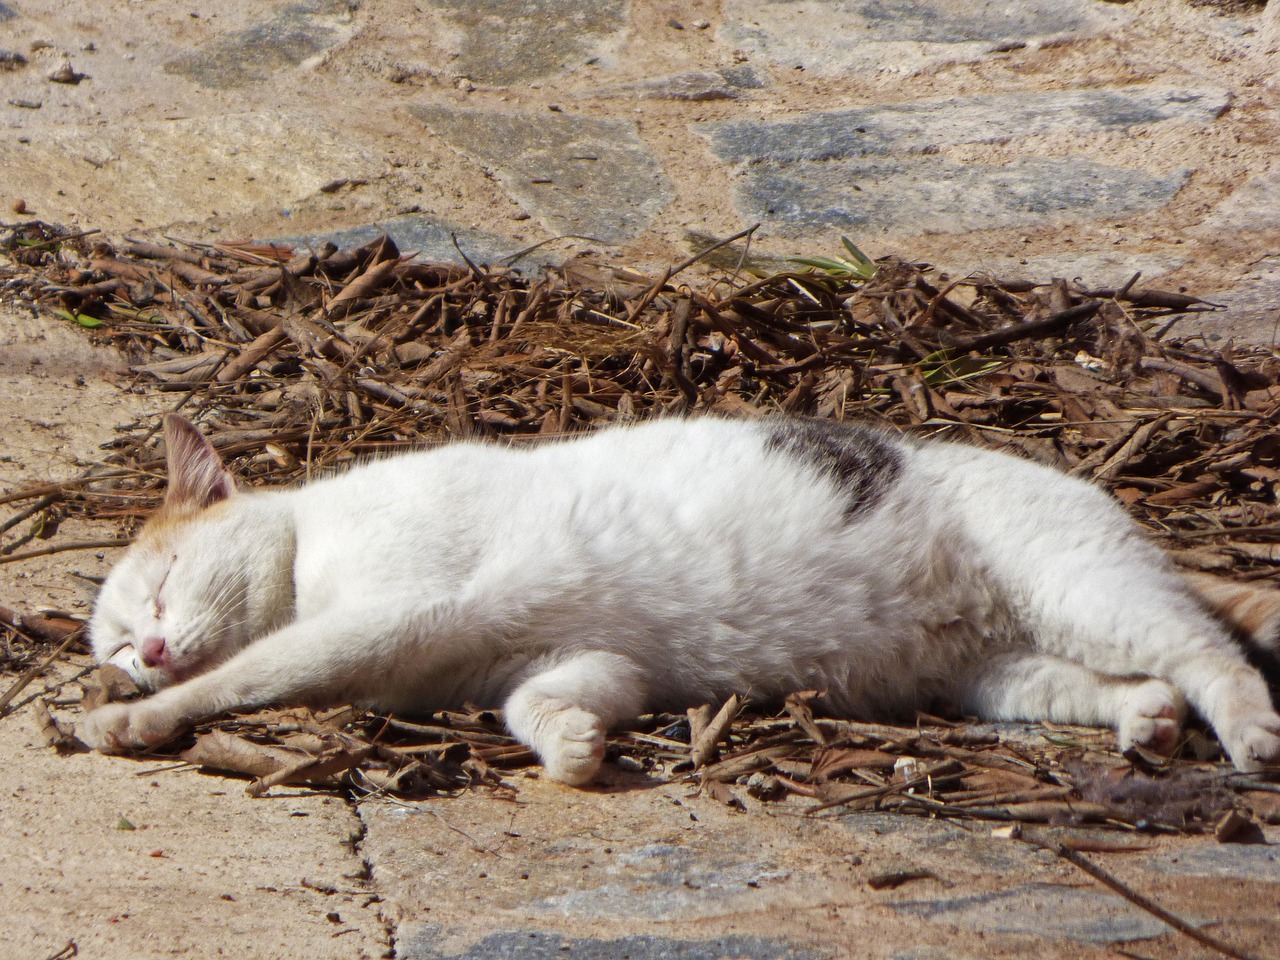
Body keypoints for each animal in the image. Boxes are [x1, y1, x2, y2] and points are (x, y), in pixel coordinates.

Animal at [80, 414, 1280, 783]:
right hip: (993, 675)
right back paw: (1143, 720)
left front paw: (134, 721)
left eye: (162, 587)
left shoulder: (387, 610)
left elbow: (255, 673)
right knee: (1126, 678)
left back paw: (1248, 733)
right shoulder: (576, 660)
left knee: (1206, 650)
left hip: (1076, 584)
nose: (146, 655)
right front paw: (571, 749)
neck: (310, 545)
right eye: (116, 641)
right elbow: (538, 700)